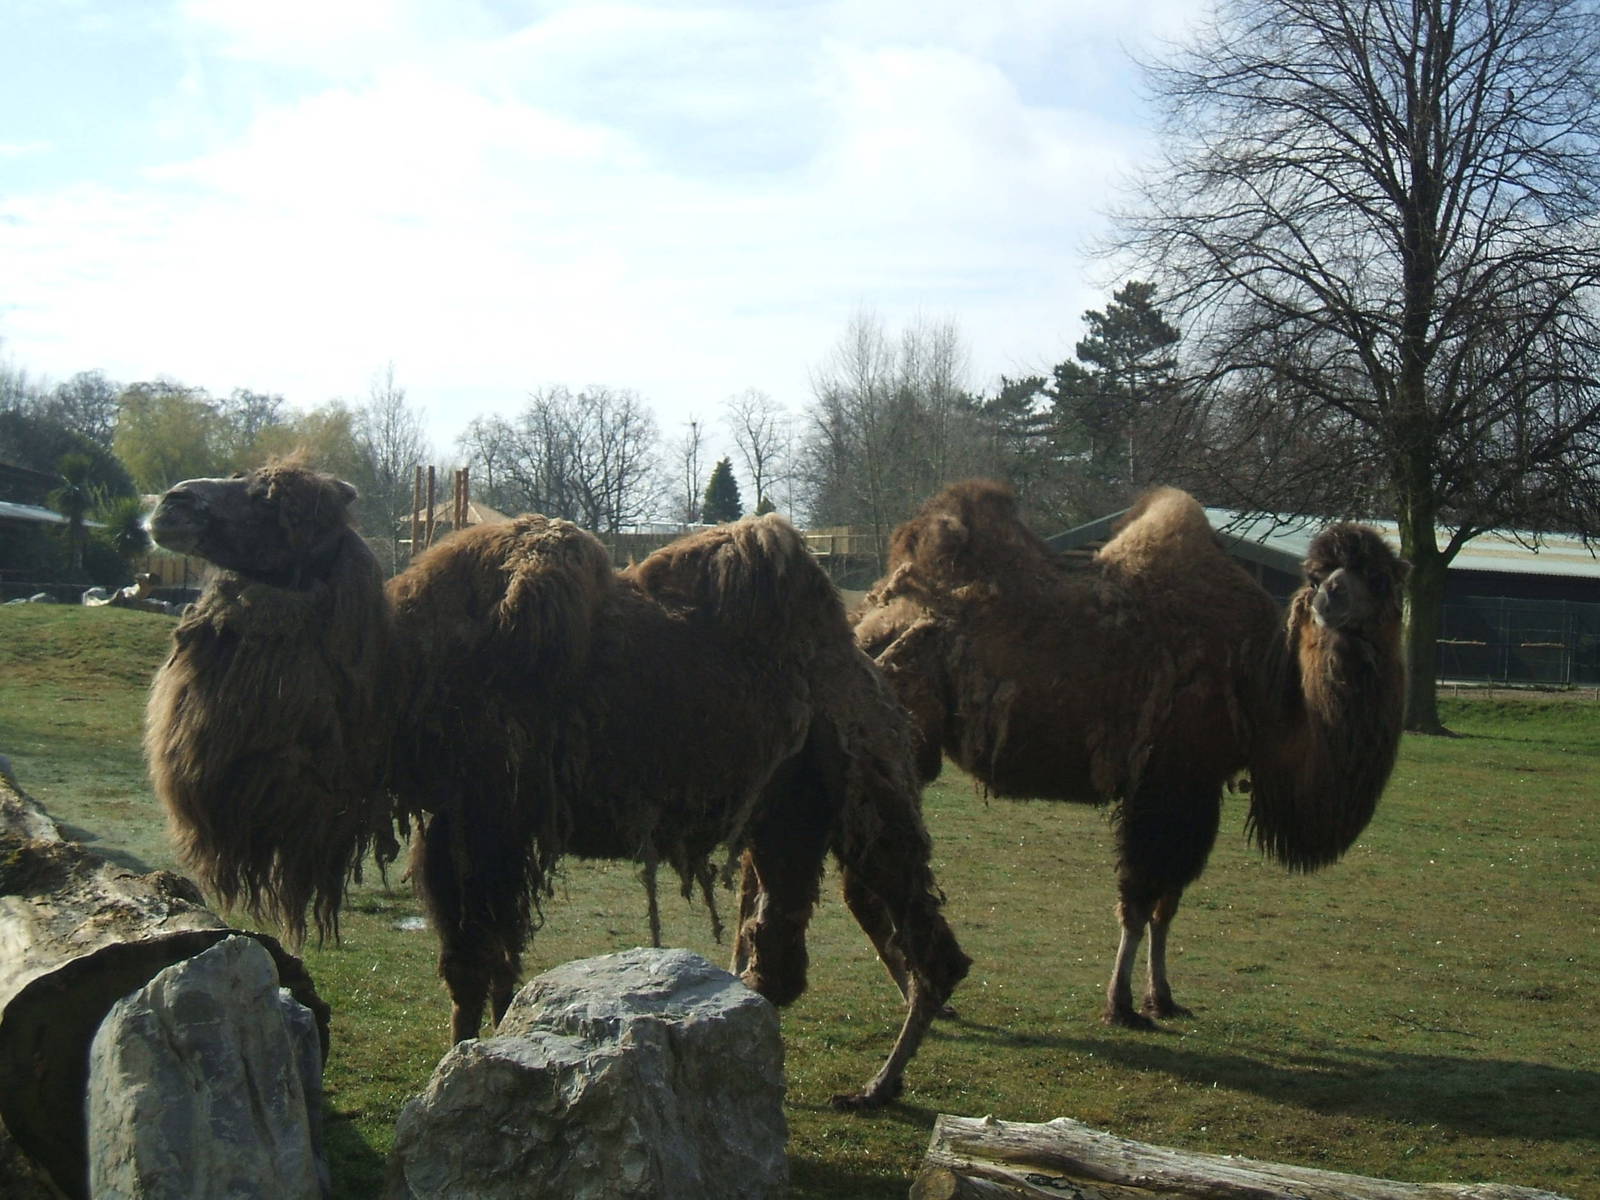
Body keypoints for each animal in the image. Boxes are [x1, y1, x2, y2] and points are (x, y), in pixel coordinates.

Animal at [144, 460, 969, 1109]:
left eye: (272, 500)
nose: (170, 503)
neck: (406, 677)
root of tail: (868, 672)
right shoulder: (452, 825)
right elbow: (470, 964)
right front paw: (474, 1056)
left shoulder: (495, 823)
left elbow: (490, 958)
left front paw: (490, 1063)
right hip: (787, 819)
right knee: (787, 950)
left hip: (867, 798)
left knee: (931, 952)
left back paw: (877, 1085)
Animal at [853, 480, 1406, 1028]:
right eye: (1316, 575)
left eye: (1379, 578)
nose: (1331, 595)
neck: (1261, 684)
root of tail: (863, 628)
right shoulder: (1168, 785)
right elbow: (1140, 900)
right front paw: (1120, 1004)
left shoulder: (1195, 791)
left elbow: (1168, 903)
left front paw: (1162, 997)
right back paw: (924, 994)